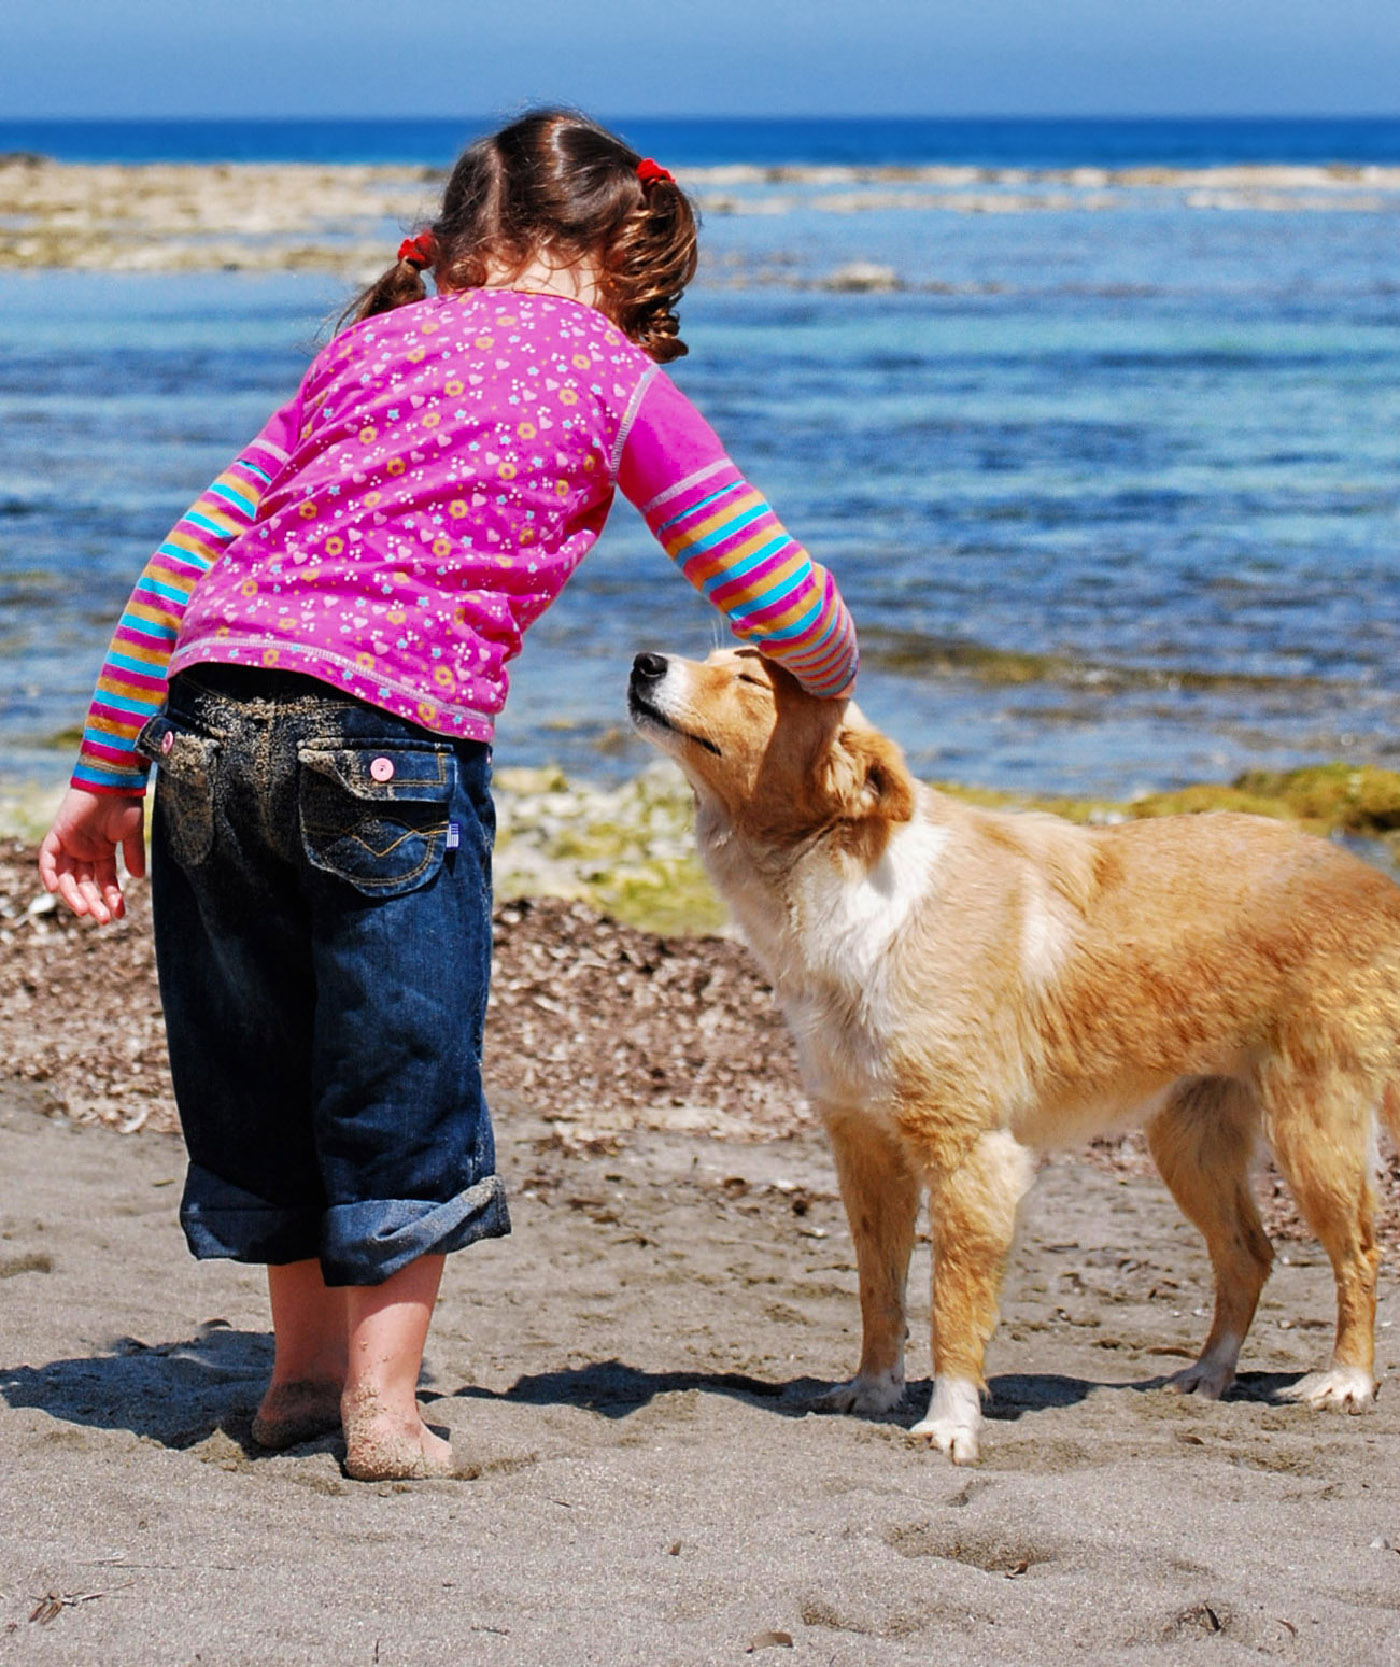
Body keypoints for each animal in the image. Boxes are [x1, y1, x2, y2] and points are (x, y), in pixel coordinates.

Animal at [626, 643, 1400, 1466]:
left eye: (748, 680)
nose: (645, 661)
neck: (850, 889)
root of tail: (1374, 880)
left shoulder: (969, 1154)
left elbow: (951, 1304)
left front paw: (950, 1421)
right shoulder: (866, 1148)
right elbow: (879, 1290)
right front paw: (872, 1389)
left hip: (1313, 1129)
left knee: (1359, 1250)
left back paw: (1347, 1379)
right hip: (1190, 1141)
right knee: (1250, 1253)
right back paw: (1207, 1375)